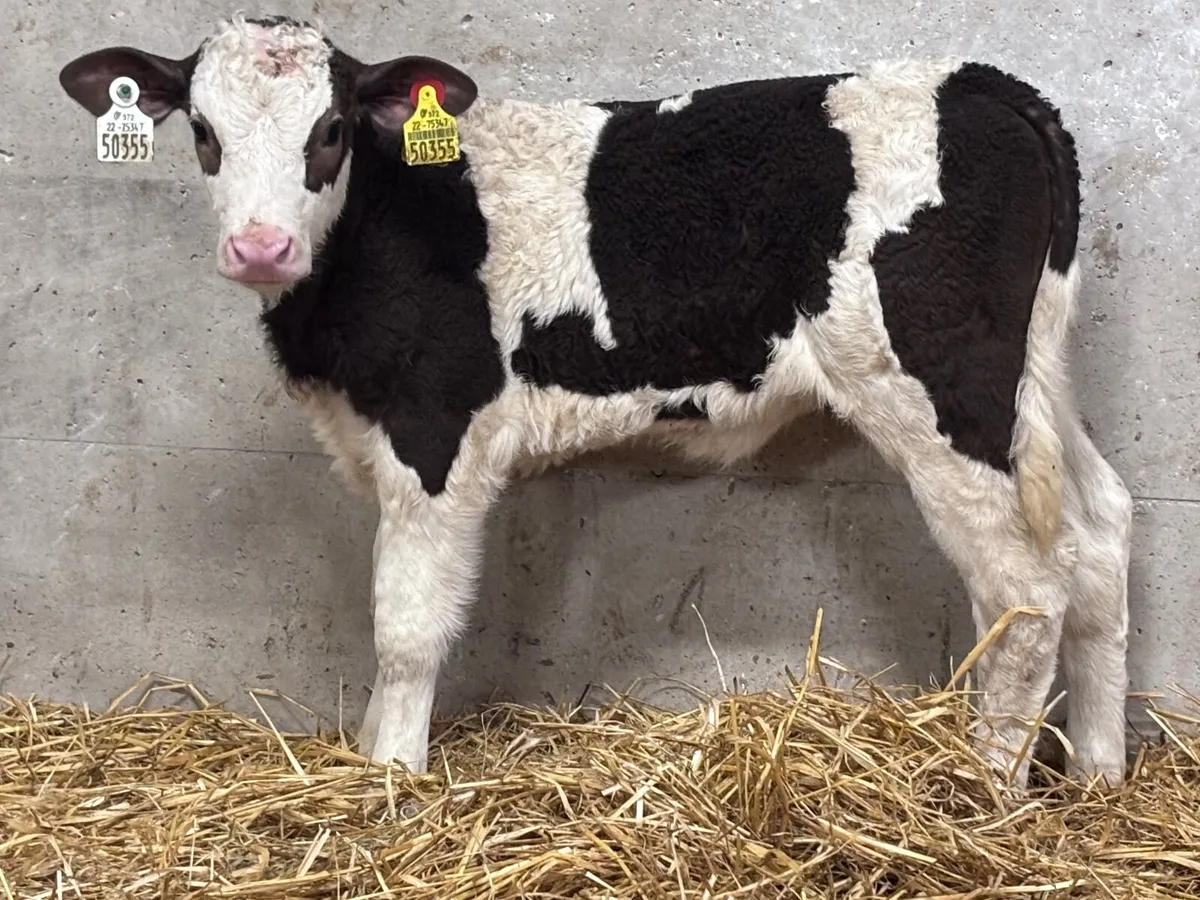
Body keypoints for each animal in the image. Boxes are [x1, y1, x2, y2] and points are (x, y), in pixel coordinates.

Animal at [59, 13, 1133, 791]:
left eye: (328, 131)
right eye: (204, 134)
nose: (259, 248)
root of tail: (985, 81)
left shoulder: (435, 435)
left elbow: (406, 629)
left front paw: (389, 777)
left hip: (943, 389)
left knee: (1027, 591)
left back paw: (987, 793)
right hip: (1033, 382)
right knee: (1102, 533)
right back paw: (1098, 776)